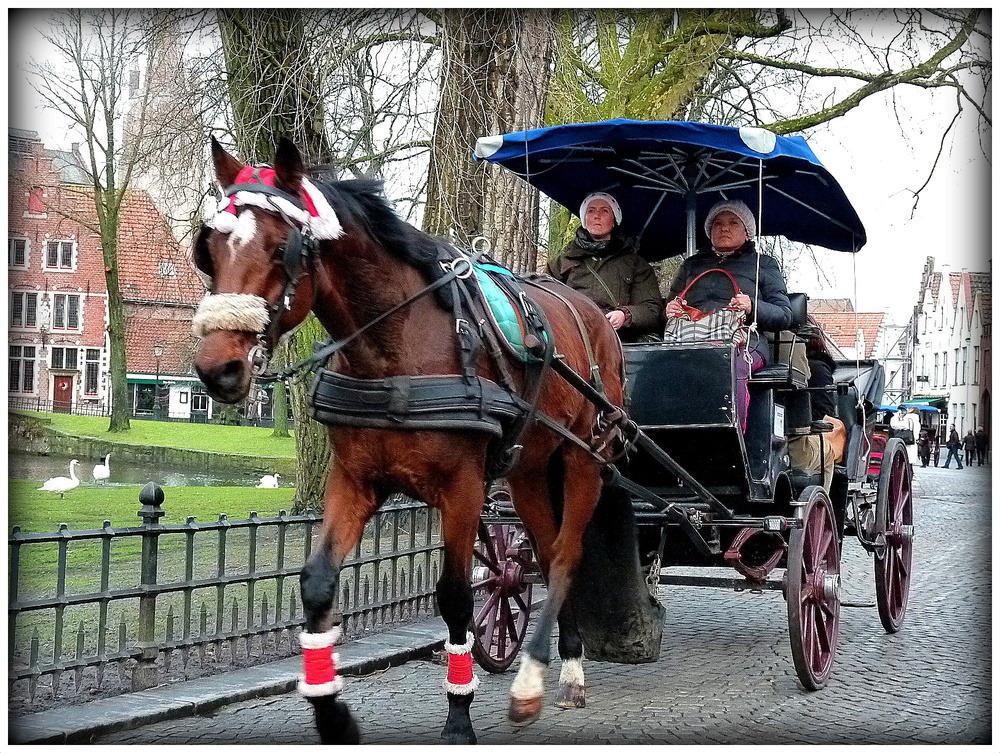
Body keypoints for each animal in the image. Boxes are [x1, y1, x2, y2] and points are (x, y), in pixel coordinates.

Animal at [190, 138, 620, 744]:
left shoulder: (462, 489)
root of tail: (593, 313)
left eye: (281, 250)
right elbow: (317, 583)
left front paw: (459, 718)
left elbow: (456, 598)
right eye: (208, 250)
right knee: (543, 547)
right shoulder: (354, 481)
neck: (395, 350)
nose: (217, 368)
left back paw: (544, 680)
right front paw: (331, 713)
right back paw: (558, 663)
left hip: (585, 456)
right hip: (529, 470)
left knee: (565, 554)